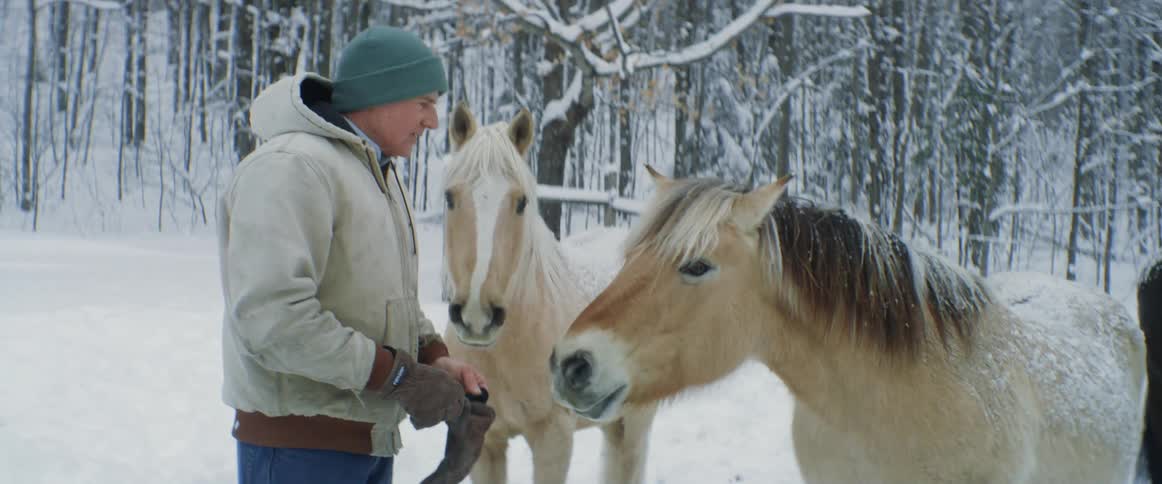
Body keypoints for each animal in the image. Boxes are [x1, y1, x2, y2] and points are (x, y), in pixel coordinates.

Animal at [440, 103, 656, 484]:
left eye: (521, 202)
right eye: (450, 198)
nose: (477, 316)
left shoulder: (553, 438)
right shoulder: (486, 443)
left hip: (635, 422)